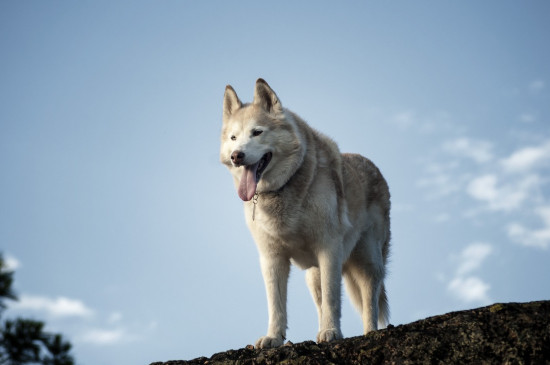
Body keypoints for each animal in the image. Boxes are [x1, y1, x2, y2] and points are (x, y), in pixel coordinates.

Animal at [220, 79, 392, 346]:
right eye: (233, 137)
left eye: (257, 132)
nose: (236, 155)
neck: (284, 188)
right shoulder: (272, 258)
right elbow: (276, 304)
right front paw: (274, 338)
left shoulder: (328, 248)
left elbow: (333, 299)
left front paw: (331, 332)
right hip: (313, 275)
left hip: (368, 261)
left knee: (369, 301)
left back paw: (370, 333)